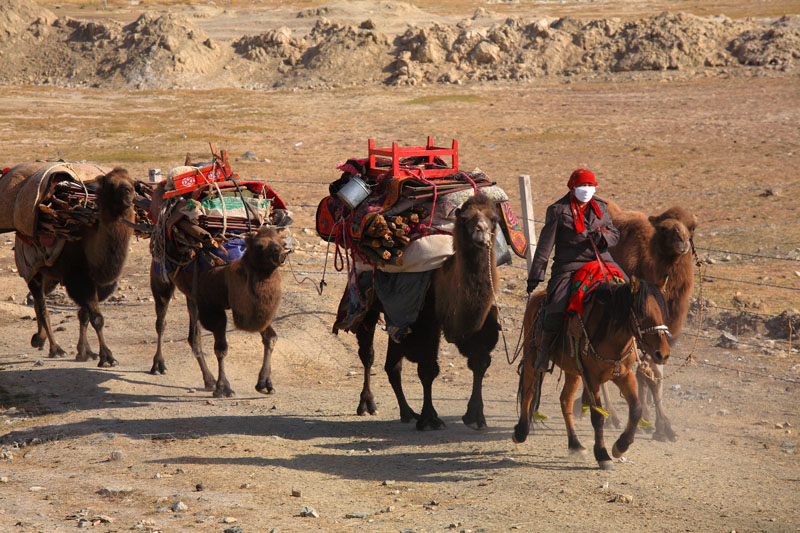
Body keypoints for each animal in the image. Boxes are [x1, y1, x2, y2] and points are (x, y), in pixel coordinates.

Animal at [24, 167, 135, 366]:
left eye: (132, 182)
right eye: (111, 184)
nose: (128, 192)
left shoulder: (99, 285)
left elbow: (84, 315)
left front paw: (85, 352)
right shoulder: (78, 280)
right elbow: (97, 318)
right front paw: (107, 357)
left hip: (51, 277)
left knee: (38, 303)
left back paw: (39, 340)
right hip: (32, 269)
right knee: (42, 307)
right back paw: (55, 349)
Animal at [150, 224, 288, 394]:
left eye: (282, 243)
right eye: (259, 246)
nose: (281, 255)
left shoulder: (253, 312)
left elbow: (271, 337)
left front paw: (265, 384)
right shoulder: (213, 308)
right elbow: (221, 348)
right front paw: (224, 388)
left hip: (192, 296)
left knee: (193, 337)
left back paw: (209, 380)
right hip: (160, 278)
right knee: (161, 322)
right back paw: (159, 365)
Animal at [354, 193, 500, 430]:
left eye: (494, 219)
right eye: (465, 219)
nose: (481, 231)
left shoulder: (483, 322)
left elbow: (480, 362)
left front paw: (476, 416)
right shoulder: (425, 320)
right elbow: (428, 370)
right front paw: (429, 419)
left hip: (398, 317)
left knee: (392, 366)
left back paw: (406, 412)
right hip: (366, 303)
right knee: (368, 354)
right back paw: (368, 405)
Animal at [512, 276, 668, 468]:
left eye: (662, 312)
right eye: (643, 315)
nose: (663, 354)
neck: (609, 335)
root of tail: (538, 296)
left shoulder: (624, 374)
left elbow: (636, 409)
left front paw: (621, 446)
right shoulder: (592, 378)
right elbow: (598, 416)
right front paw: (603, 455)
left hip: (573, 370)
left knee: (565, 400)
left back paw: (575, 445)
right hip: (531, 355)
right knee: (529, 390)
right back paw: (521, 431)